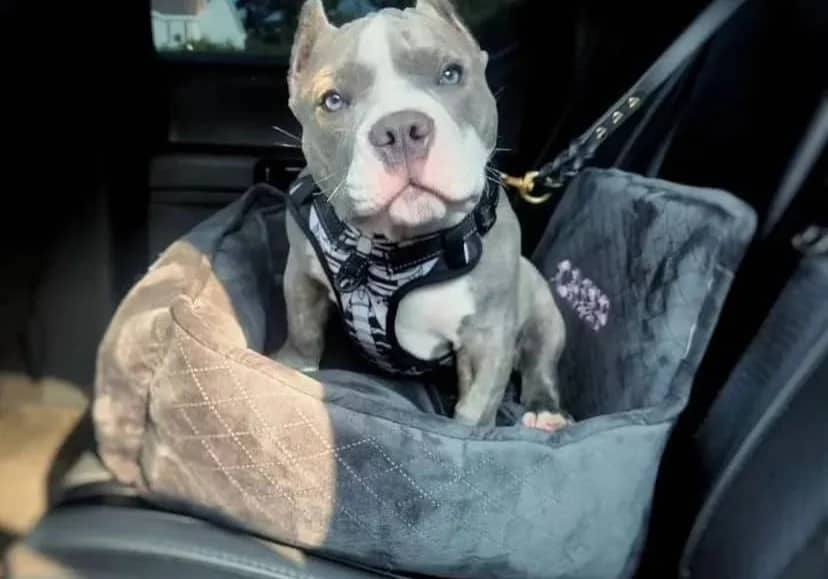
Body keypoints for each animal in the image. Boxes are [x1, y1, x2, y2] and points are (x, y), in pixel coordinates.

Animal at [278, 0, 568, 430]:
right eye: (332, 101)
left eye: (451, 73)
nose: (400, 128)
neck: (390, 248)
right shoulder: (301, 274)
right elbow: (302, 332)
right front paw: (290, 366)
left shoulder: (488, 334)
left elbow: (476, 407)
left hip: (543, 306)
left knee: (540, 359)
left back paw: (545, 410)